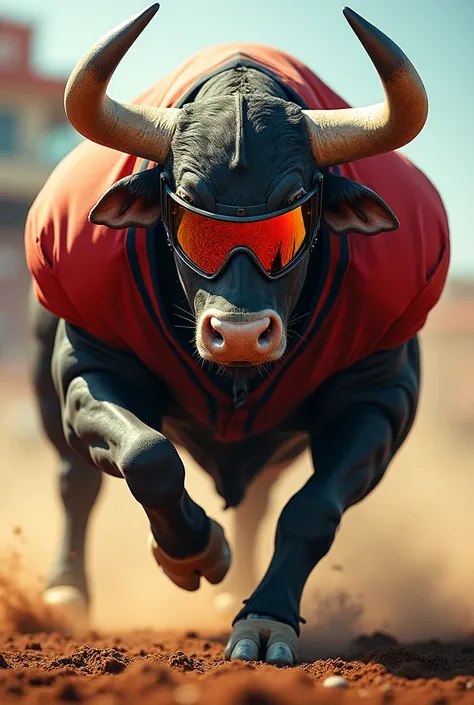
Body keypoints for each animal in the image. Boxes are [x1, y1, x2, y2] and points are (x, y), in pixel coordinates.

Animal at [25, 5, 448, 664]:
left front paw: (266, 619)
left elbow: (310, 511)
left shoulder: (383, 398)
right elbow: (147, 456)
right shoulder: (87, 368)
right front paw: (193, 551)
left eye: (296, 209)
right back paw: (66, 593)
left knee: (256, 504)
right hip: (44, 385)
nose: (242, 335)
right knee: (76, 482)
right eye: (188, 207)